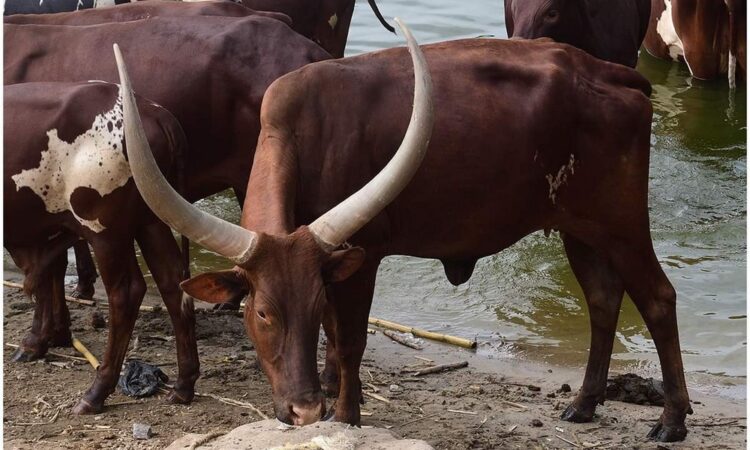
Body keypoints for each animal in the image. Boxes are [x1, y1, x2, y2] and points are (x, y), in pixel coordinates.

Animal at [4, 80, 197, 411]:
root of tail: (151, 110)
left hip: (106, 231)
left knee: (126, 293)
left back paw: (96, 391)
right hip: (150, 220)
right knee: (173, 282)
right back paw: (184, 384)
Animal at [118, 19, 692, 443]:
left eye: (308, 305)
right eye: (262, 313)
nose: (304, 410)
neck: (301, 134)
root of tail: (617, 75)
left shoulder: (364, 257)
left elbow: (350, 342)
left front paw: (347, 416)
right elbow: (337, 339)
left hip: (622, 224)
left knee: (658, 299)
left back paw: (672, 421)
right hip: (581, 229)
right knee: (602, 299)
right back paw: (584, 404)